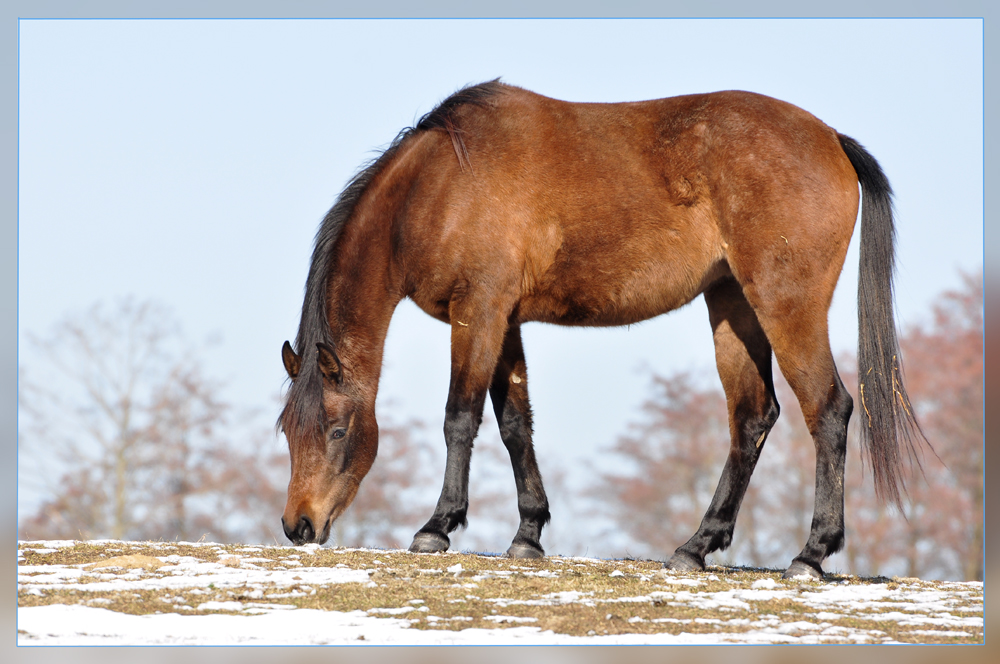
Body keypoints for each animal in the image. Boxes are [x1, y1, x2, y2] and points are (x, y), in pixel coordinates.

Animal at [278, 78, 924, 580]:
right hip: (733, 307)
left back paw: (811, 555)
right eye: (287, 430)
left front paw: (437, 526)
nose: (298, 525)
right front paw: (528, 534)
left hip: (786, 306)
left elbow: (460, 418)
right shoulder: (505, 321)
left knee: (829, 410)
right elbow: (515, 425)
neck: (437, 186)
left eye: (337, 431)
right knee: (752, 418)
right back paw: (695, 546)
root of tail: (831, 139)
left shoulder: (477, 311)